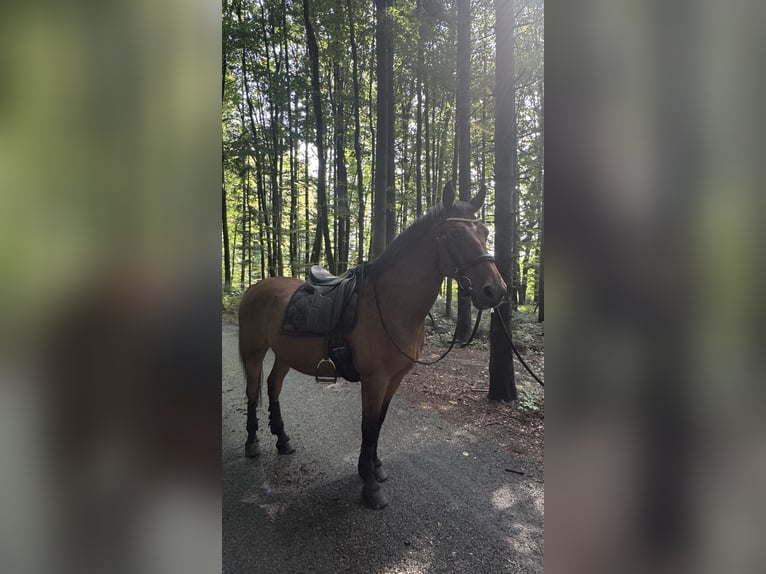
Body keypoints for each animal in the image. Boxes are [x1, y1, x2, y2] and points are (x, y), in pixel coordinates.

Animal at [238, 181, 507, 509]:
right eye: (454, 234)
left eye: (485, 232)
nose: (495, 291)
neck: (391, 305)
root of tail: (256, 287)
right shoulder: (374, 380)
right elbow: (368, 426)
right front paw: (369, 485)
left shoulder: (394, 379)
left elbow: (379, 422)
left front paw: (375, 468)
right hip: (253, 351)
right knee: (253, 392)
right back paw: (252, 442)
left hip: (284, 354)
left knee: (273, 386)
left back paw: (282, 439)